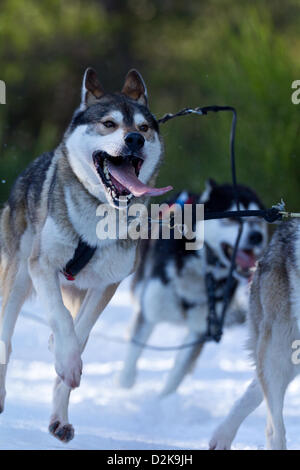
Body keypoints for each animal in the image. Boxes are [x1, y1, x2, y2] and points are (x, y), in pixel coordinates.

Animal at [0, 68, 172, 442]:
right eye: (109, 124)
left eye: (144, 127)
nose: (134, 140)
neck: (99, 216)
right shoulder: (42, 266)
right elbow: (62, 319)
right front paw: (65, 358)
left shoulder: (106, 285)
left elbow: (78, 334)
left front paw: (65, 361)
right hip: (17, 279)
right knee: (5, 340)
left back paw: (59, 418)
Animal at [118, 182, 268, 394]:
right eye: (233, 218)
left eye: (257, 219)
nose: (257, 236)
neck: (201, 269)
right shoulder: (150, 312)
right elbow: (133, 354)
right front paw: (124, 386)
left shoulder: (202, 327)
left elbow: (178, 370)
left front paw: (163, 398)